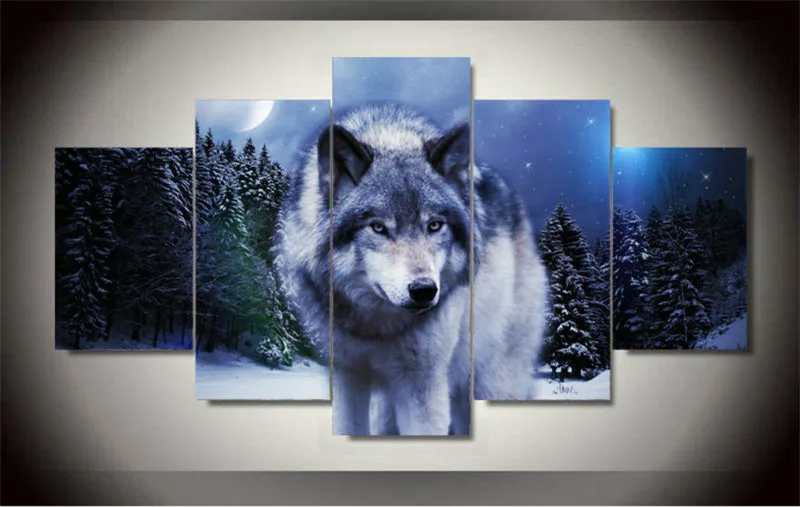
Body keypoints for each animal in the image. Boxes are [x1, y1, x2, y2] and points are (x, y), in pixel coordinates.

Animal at [275, 104, 547, 436]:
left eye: (435, 225)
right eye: (378, 227)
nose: (424, 290)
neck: (375, 328)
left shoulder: (422, 383)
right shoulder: (346, 373)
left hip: (492, 379)